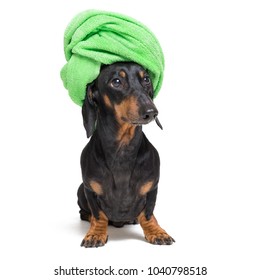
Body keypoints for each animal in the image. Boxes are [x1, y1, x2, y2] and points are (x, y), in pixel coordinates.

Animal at [77, 61, 175, 247]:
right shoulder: (89, 189)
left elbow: (148, 214)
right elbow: (99, 215)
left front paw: (156, 232)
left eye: (146, 79)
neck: (122, 149)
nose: (151, 112)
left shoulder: (152, 188)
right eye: (116, 81)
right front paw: (95, 233)